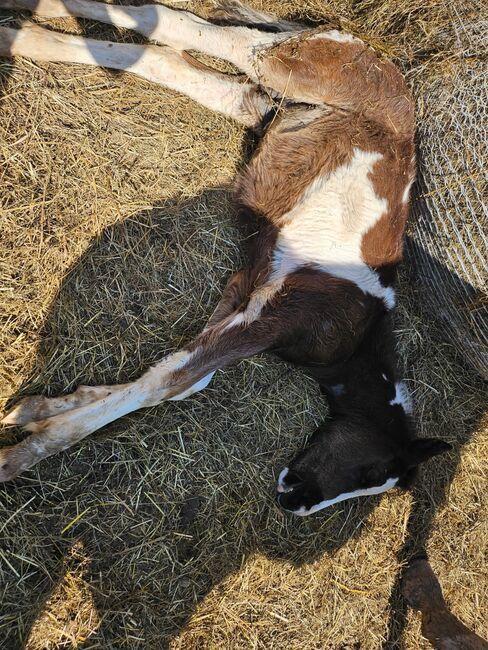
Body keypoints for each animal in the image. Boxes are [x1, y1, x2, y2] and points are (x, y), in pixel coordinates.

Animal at [0, 0, 450, 512]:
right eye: (369, 471)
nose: (293, 501)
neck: (358, 327)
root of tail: (372, 52)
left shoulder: (246, 286)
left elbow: (182, 379)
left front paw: (40, 409)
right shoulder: (276, 313)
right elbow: (165, 383)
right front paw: (25, 453)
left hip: (265, 104)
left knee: (184, 64)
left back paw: (30, 28)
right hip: (288, 66)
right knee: (191, 29)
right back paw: (22, 31)